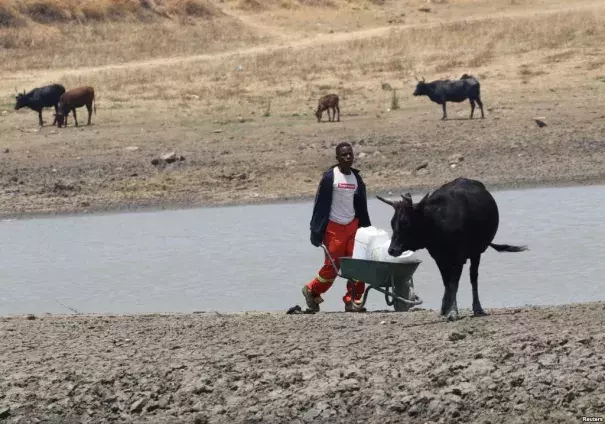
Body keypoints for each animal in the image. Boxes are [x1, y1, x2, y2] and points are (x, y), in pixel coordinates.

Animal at [376, 176, 528, 322]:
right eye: (392, 222)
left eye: (406, 222)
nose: (392, 250)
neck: (438, 223)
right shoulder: (439, 257)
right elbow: (447, 283)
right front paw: (446, 309)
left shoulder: (459, 257)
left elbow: (454, 283)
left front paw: (453, 312)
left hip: (476, 252)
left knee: (473, 277)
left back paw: (477, 308)